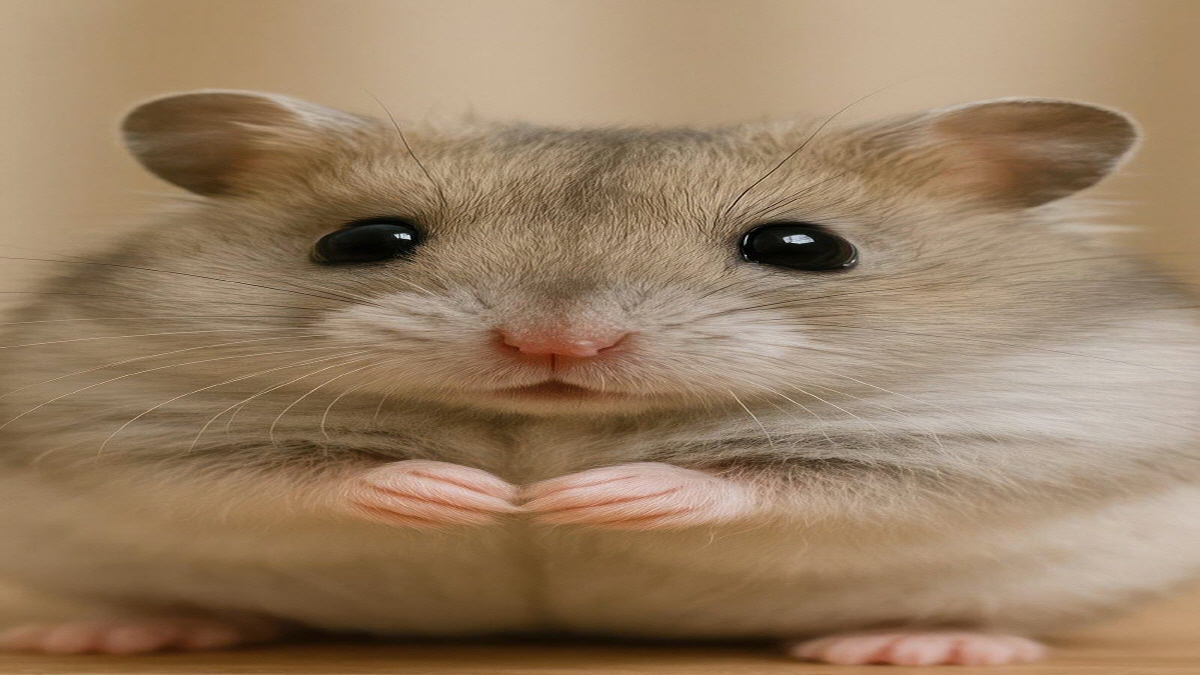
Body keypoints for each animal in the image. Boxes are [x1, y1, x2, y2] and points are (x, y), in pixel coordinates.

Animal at [0, 90, 1196, 666]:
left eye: (804, 248)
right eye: (363, 242)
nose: (555, 347)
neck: (545, 422)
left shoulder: (1002, 440)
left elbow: (773, 480)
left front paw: (573, 500)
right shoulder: (126, 430)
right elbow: (286, 473)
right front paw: (479, 498)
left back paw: (924, 642)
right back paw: (114, 632)